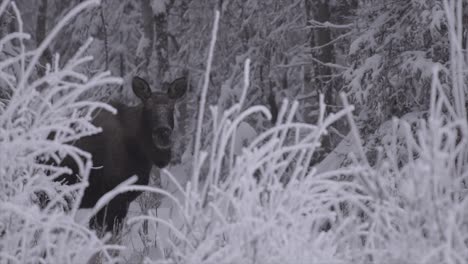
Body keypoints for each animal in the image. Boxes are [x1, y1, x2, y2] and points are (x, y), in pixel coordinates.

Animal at [54, 76, 186, 233]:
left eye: (172, 108)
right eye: (147, 108)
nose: (163, 133)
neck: (141, 153)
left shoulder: (121, 202)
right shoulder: (112, 198)